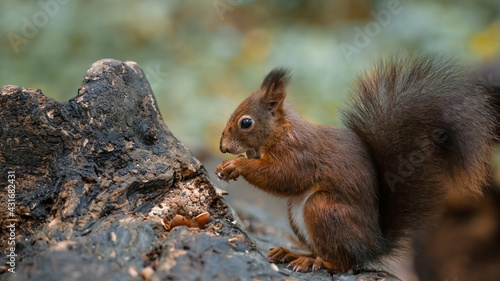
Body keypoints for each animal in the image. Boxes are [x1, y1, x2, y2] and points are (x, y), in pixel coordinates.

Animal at [214, 53, 500, 272]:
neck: (281, 131)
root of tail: (373, 244)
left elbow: (284, 176)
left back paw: (315, 263)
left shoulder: (300, 154)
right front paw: (223, 167)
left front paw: (236, 166)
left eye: (246, 122)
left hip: (323, 208)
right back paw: (292, 254)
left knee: (344, 262)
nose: (223, 147)